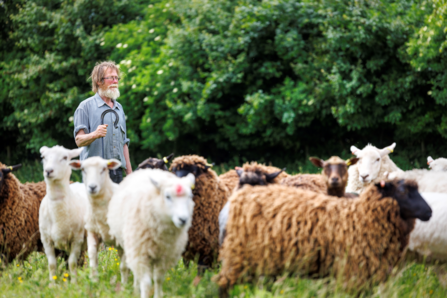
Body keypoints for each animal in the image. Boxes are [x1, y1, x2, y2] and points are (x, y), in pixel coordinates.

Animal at [39, 146, 88, 284]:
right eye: (43, 157)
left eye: (65, 157)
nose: (48, 171)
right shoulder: (46, 240)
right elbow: (51, 264)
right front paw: (52, 284)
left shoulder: (77, 239)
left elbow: (72, 263)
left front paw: (74, 283)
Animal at [107, 170, 195, 298]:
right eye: (167, 196)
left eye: (190, 197)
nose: (183, 219)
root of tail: (148, 170)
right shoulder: (140, 253)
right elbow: (146, 282)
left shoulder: (164, 256)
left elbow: (158, 279)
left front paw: (158, 295)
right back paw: (135, 289)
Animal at [217, 179, 434, 296]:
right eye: (403, 191)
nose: (429, 212)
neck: (361, 217)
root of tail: (237, 199)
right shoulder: (352, 273)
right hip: (239, 254)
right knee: (222, 284)